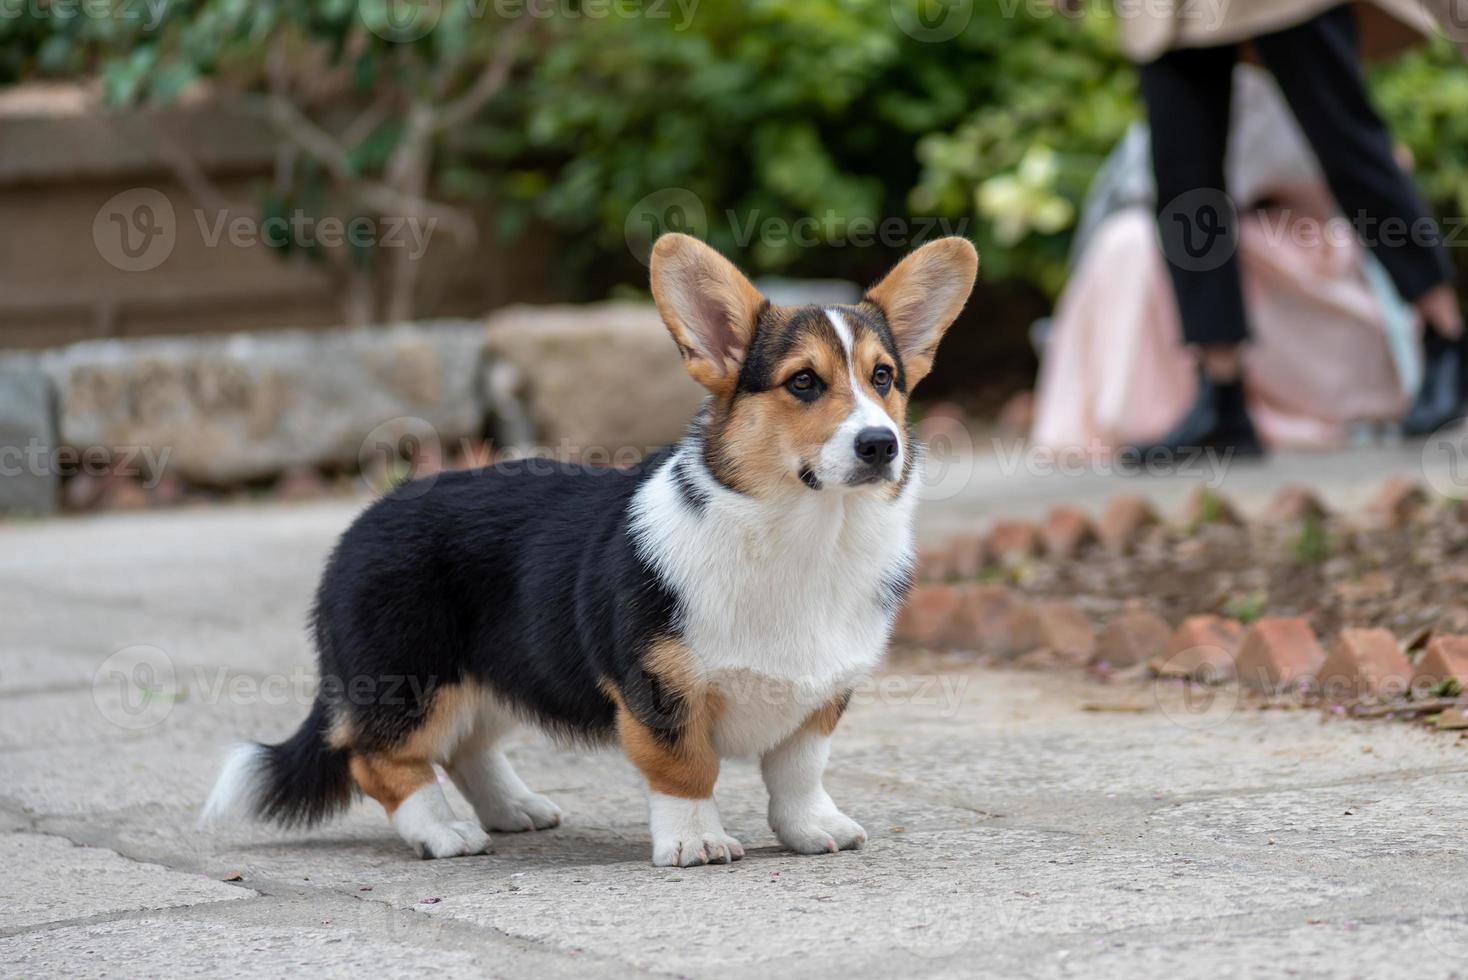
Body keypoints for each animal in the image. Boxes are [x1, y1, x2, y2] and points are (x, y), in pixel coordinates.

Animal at [195, 233, 974, 868]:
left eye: (884, 378)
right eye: (804, 382)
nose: (881, 445)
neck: (808, 533)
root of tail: (361, 525)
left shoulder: (821, 693)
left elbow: (799, 770)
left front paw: (814, 829)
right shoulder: (659, 689)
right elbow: (686, 768)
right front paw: (695, 842)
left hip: (506, 665)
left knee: (470, 744)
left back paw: (514, 809)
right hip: (412, 678)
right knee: (379, 759)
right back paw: (443, 832)